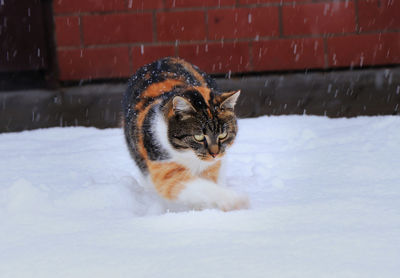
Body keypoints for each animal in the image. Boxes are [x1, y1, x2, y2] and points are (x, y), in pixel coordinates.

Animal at [122, 57, 248, 212]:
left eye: (223, 135)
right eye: (199, 137)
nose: (214, 153)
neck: (190, 157)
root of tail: (161, 60)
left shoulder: (214, 166)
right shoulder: (163, 166)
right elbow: (198, 187)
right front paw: (234, 200)